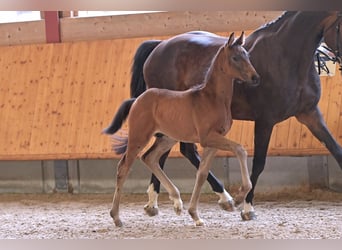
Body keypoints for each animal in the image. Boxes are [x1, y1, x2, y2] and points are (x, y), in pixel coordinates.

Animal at [103, 33, 260, 227]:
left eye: (247, 55)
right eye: (235, 58)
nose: (255, 77)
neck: (212, 98)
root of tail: (137, 99)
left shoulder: (214, 141)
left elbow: (202, 173)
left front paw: (196, 215)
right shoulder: (208, 138)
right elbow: (240, 149)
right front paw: (238, 198)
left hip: (167, 138)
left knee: (150, 158)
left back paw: (175, 200)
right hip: (139, 137)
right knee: (124, 167)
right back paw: (117, 217)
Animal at [127, 10, 342, 220]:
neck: (285, 55)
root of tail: (159, 45)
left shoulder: (310, 114)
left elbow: (336, 149)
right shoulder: (265, 121)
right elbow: (259, 163)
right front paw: (247, 207)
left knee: (177, 152)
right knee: (168, 152)